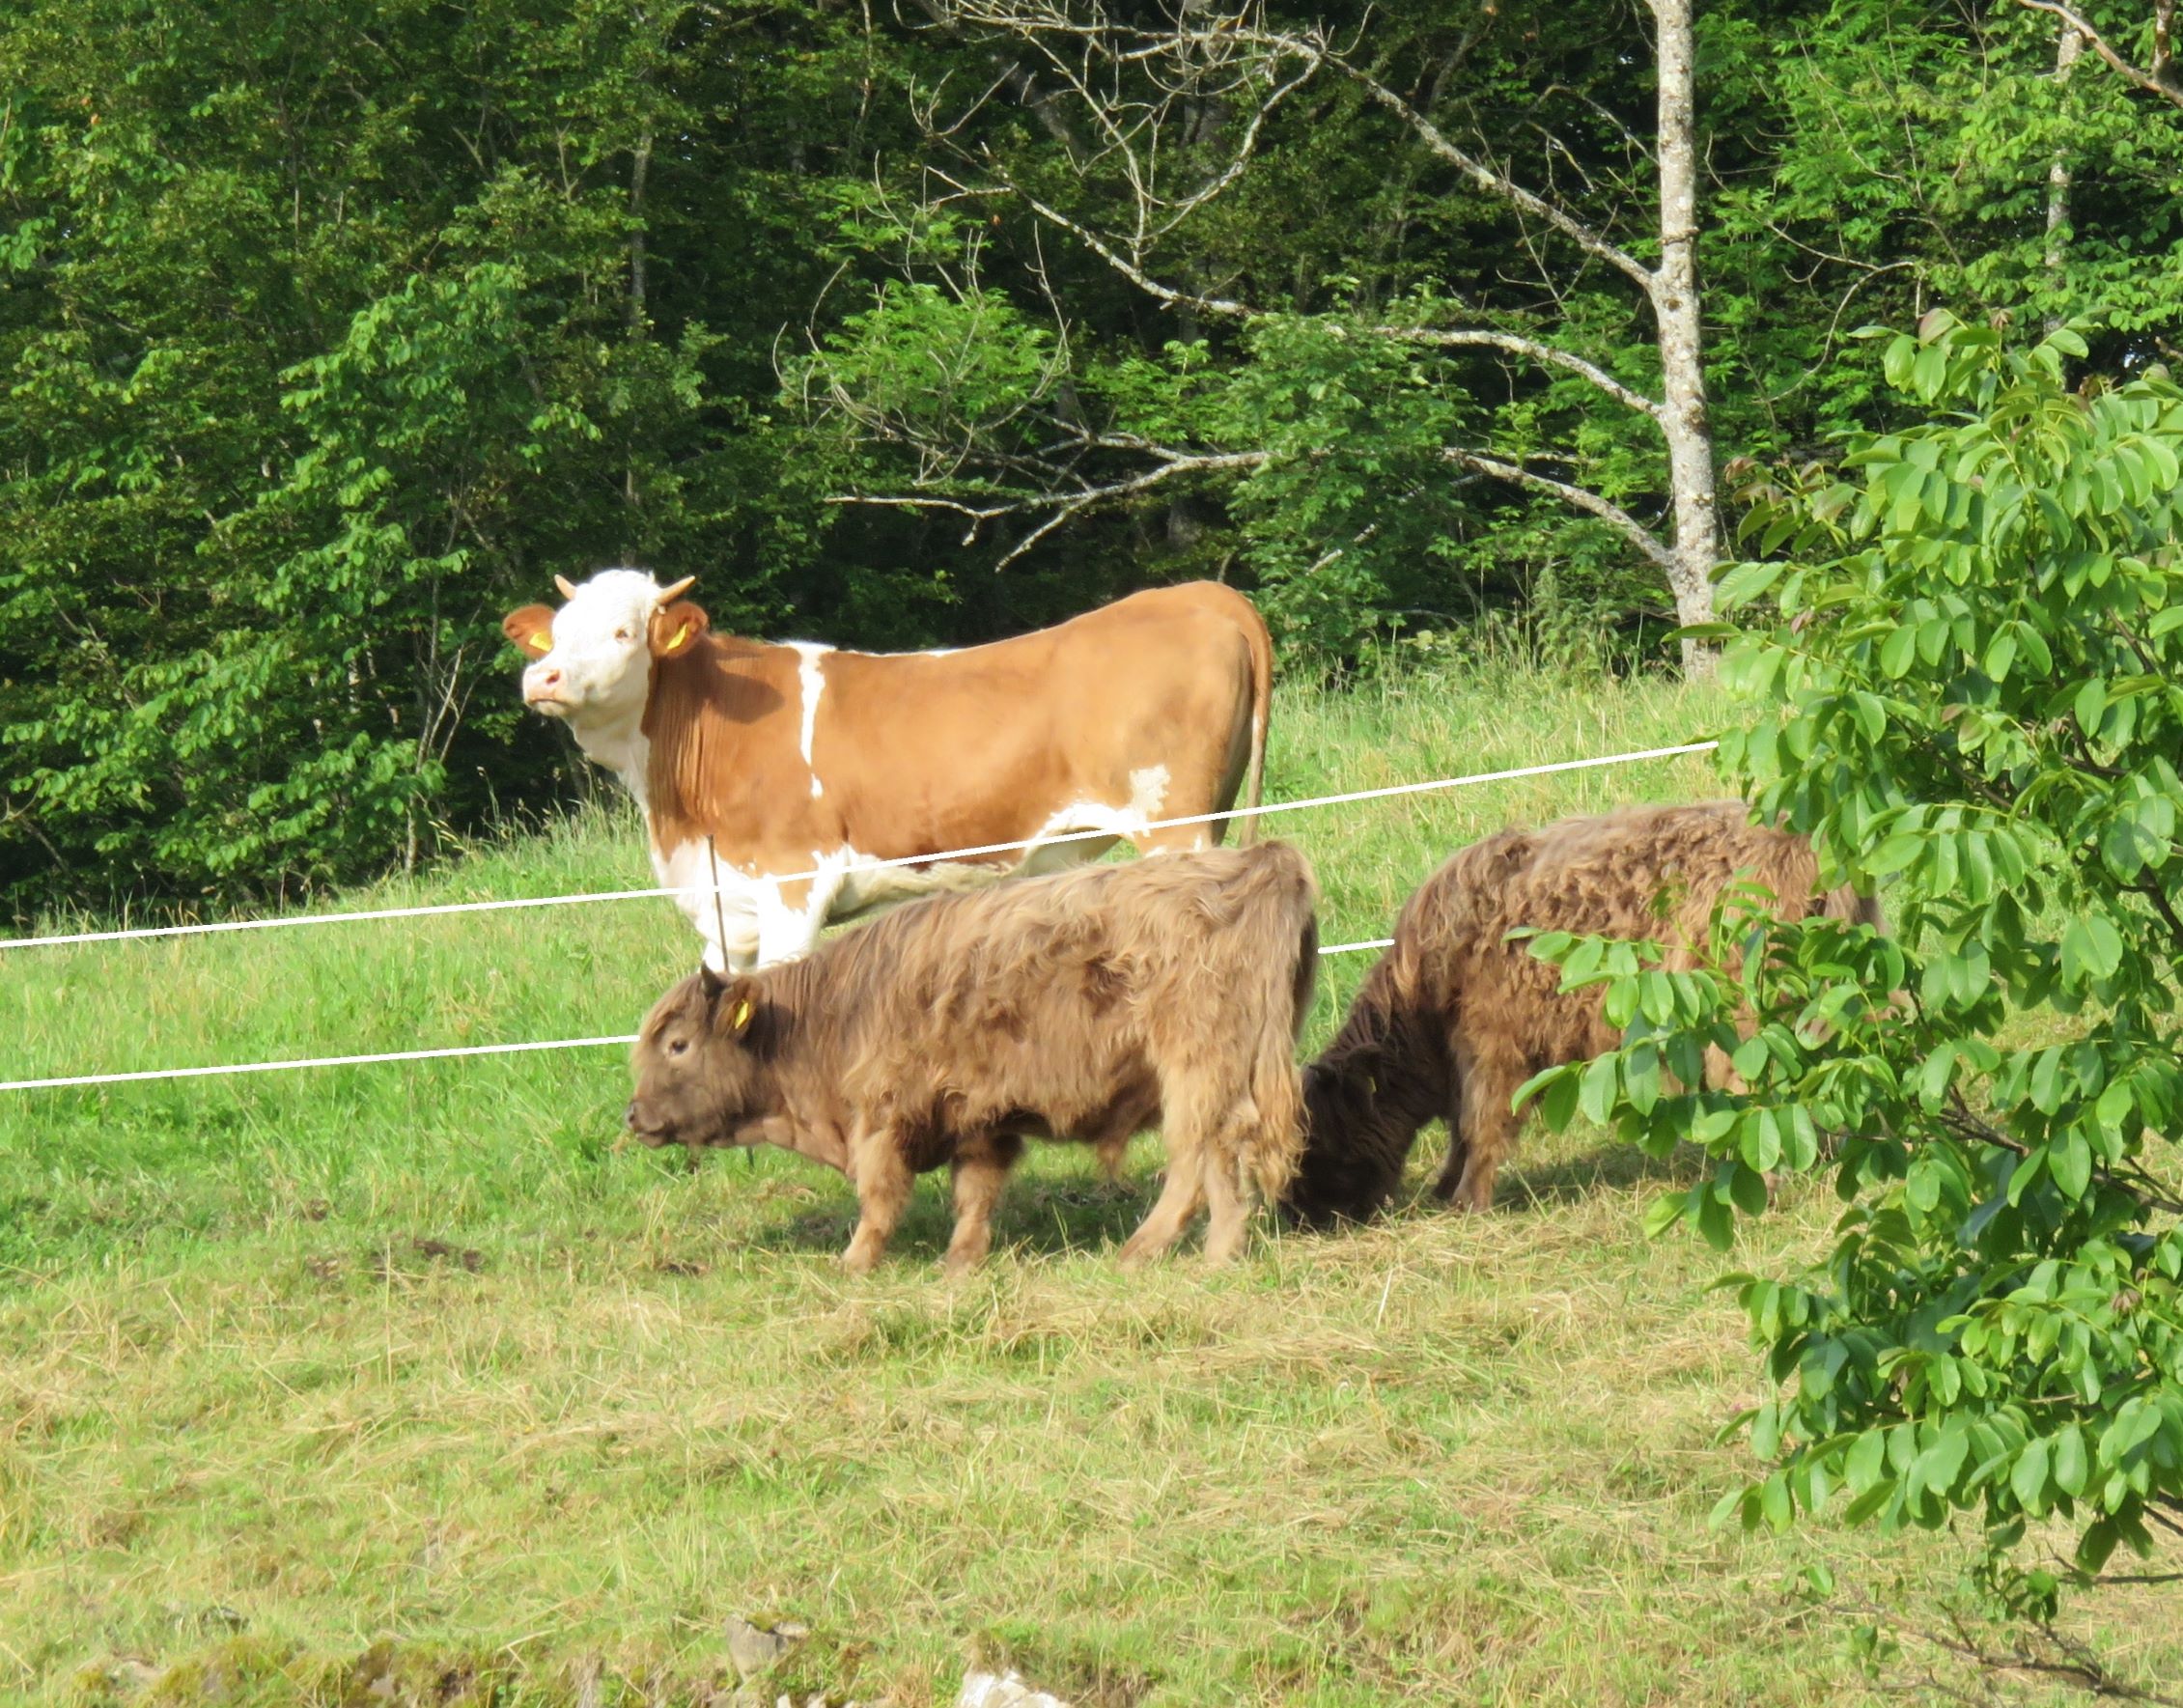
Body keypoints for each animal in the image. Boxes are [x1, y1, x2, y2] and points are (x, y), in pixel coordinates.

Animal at [501, 572, 1274, 971]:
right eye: (556, 633)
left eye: (623, 632)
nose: (543, 677)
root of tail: (1200, 593)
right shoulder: (727, 907)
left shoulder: (794, 882)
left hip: (1174, 827)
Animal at [624, 842, 1319, 1274]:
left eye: (677, 1044)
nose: (634, 1115)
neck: (828, 1017)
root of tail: (1257, 860)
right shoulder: (979, 1118)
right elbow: (975, 1194)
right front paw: (960, 1262)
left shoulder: (882, 1115)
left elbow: (881, 1195)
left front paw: (854, 1262)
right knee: (1217, 1158)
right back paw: (1210, 1251)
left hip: (1196, 1067)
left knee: (1198, 1157)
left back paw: (1159, 1251)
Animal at [1281, 801, 1884, 1227]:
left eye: (1317, 1137)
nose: (1297, 1215)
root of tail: (1807, 844)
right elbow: (1461, 1125)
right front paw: (1446, 1187)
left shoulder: (1491, 1040)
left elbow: (1479, 1122)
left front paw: (1468, 1201)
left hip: (1741, 1018)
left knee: (1757, 1093)